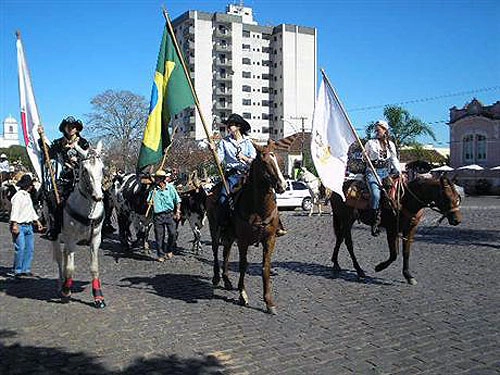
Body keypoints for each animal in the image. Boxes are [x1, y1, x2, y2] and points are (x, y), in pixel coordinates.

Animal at [52, 141, 106, 308]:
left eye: (102, 168)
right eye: (85, 170)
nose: (98, 197)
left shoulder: (95, 239)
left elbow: (94, 267)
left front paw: (98, 296)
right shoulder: (71, 239)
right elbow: (70, 267)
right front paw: (66, 292)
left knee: (64, 255)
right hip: (56, 236)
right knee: (59, 259)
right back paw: (61, 286)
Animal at [205, 141, 288, 314]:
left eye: (278, 159)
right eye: (265, 162)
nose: (282, 185)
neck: (259, 209)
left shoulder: (270, 240)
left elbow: (265, 267)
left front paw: (269, 302)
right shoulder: (243, 241)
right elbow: (243, 265)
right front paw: (242, 294)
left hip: (230, 236)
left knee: (226, 253)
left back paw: (227, 280)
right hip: (214, 228)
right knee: (216, 250)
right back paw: (217, 277)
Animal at [330, 176, 462, 284]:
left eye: (458, 197)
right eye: (446, 197)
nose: (457, 220)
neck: (405, 200)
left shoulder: (410, 230)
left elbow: (406, 252)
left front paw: (408, 275)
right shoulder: (392, 230)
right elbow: (394, 254)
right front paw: (379, 267)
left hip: (344, 220)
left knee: (340, 238)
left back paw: (336, 263)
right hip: (347, 220)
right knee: (348, 243)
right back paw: (359, 270)